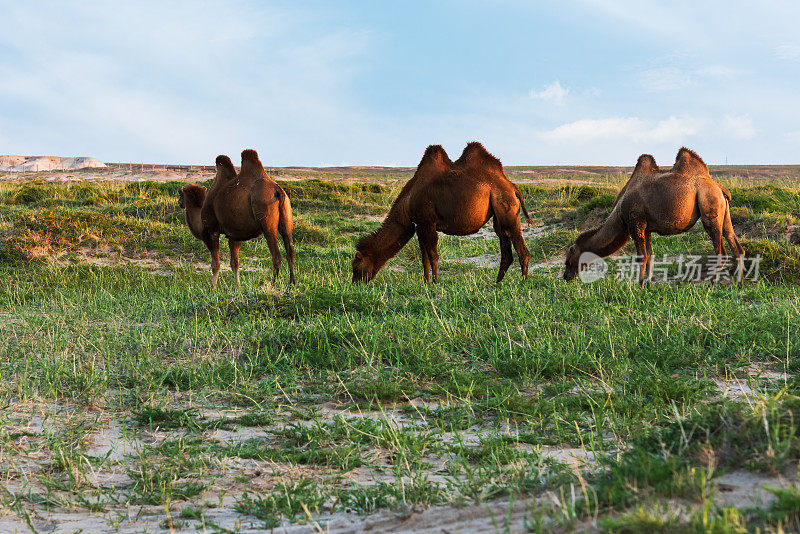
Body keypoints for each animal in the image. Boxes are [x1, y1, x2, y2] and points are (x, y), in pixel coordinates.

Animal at [178, 149, 296, 292]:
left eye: (180, 194)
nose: (180, 202)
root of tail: (278, 191)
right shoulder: (234, 235)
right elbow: (235, 263)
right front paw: (238, 287)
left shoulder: (212, 231)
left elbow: (215, 264)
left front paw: (212, 289)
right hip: (286, 215)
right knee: (290, 250)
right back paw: (291, 285)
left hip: (266, 217)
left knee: (276, 255)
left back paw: (272, 286)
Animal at [352, 142, 532, 284]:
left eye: (356, 267)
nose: (355, 284)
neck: (407, 202)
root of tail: (513, 186)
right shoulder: (420, 226)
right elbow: (424, 257)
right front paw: (425, 282)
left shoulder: (428, 223)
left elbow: (433, 255)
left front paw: (435, 282)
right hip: (498, 215)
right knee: (505, 247)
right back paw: (497, 283)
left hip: (507, 207)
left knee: (521, 249)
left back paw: (522, 283)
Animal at [564, 148, 744, 284]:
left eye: (569, 259)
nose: (565, 277)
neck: (619, 214)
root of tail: (719, 187)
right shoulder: (647, 228)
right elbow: (650, 256)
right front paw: (648, 283)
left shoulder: (636, 223)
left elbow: (641, 257)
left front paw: (639, 285)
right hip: (723, 211)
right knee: (735, 243)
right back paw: (739, 282)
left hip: (709, 204)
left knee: (721, 251)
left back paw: (710, 283)